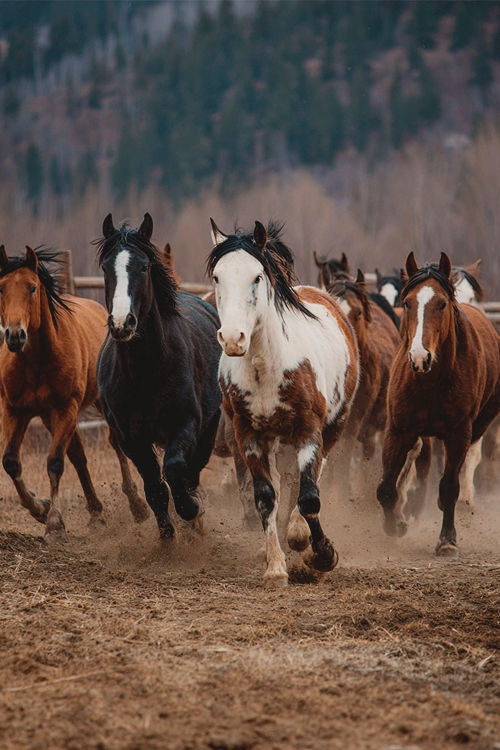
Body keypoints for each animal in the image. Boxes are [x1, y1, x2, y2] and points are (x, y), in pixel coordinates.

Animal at [0, 245, 149, 539]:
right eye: (0, 288)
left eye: (32, 287)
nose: (14, 335)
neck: (36, 361)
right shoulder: (14, 410)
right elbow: (11, 462)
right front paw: (40, 507)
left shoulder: (65, 408)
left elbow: (55, 462)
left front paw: (55, 523)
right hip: (51, 417)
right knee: (78, 456)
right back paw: (96, 512)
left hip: (99, 405)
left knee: (115, 443)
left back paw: (136, 505)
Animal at [96, 213, 221, 539]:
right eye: (105, 268)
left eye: (143, 266)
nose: (122, 323)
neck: (146, 371)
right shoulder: (131, 439)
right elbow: (155, 488)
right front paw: (167, 538)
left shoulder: (186, 425)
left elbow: (176, 471)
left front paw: (191, 511)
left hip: (209, 427)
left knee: (193, 471)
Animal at [208, 219, 359, 586]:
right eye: (217, 276)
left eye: (256, 277)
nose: (232, 339)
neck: (267, 367)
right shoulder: (248, 436)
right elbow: (265, 498)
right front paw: (275, 566)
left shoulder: (309, 432)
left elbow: (309, 498)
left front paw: (322, 554)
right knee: (285, 483)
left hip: (332, 428)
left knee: (310, 479)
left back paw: (299, 535)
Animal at [377, 252, 500, 556]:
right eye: (407, 303)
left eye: (442, 304)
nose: (420, 357)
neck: (429, 380)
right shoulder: (398, 430)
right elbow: (386, 487)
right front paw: (394, 524)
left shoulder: (458, 434)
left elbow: (448, 486)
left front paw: (447, 539)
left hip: (477, 427)